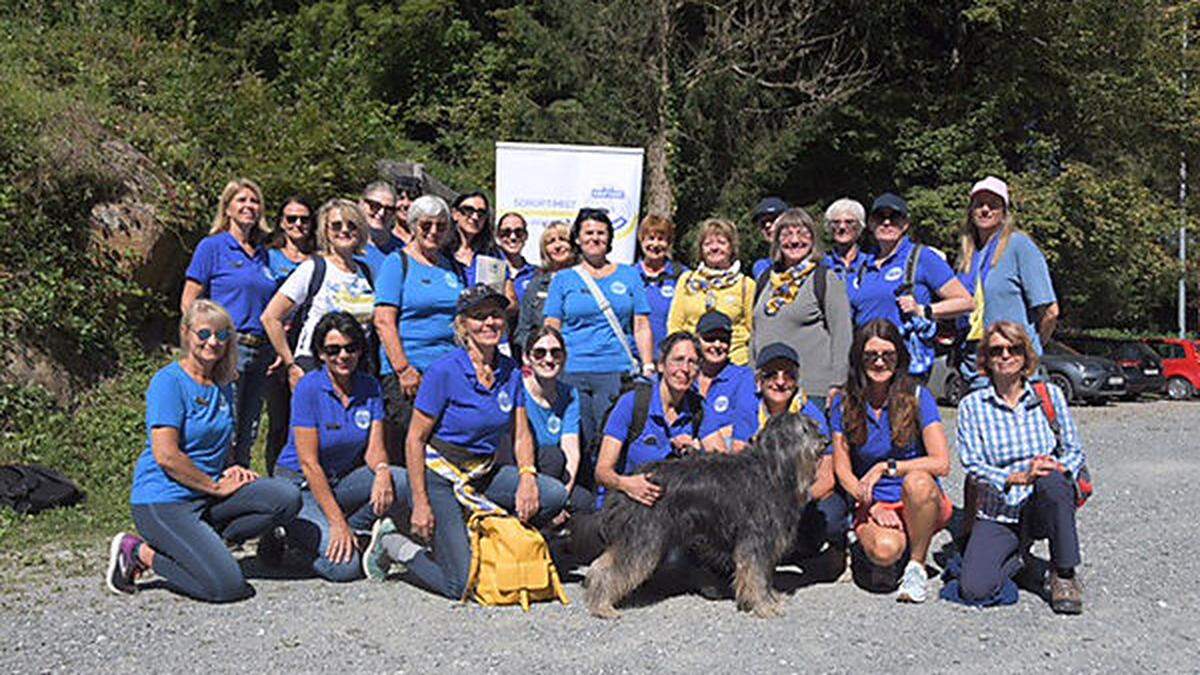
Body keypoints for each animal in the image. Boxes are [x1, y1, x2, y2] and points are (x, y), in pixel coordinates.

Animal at [585, 408, 830, 619]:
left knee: (601, 564)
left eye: (815, 425)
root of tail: (630, 480)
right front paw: (763, 606)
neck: (772, 469)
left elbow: (764, 575)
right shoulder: (755, 541)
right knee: (610, 567)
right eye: (804, 429)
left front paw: (771, 600)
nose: (826, 442)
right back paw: (602, 606)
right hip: (644, 536)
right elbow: (755, 575)